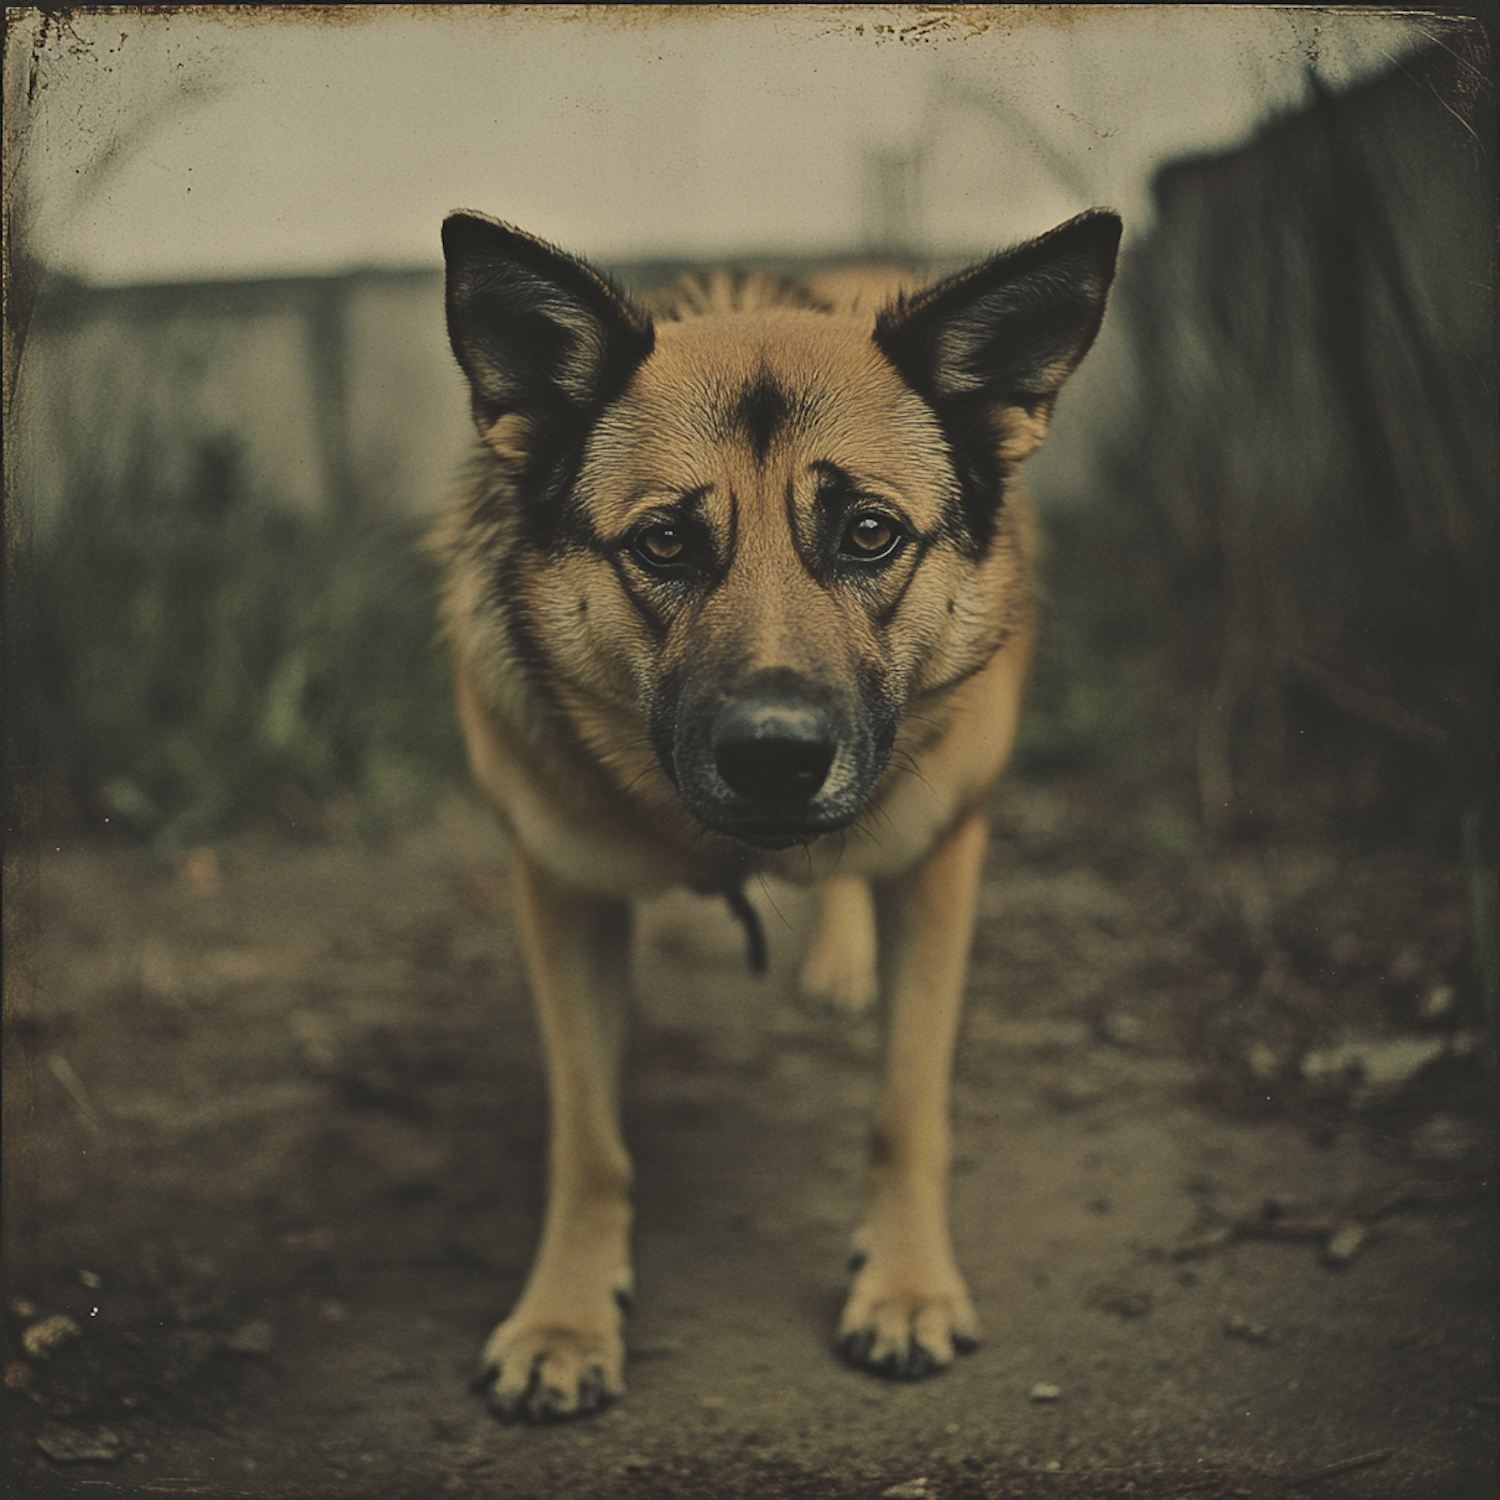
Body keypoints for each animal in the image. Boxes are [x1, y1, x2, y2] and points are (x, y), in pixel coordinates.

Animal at [429, 208, 1122, 1416]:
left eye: (869, 534)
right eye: (663, 542)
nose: (775, 759)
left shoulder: (940, 866)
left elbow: (907, 1111)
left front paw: (905, 1287)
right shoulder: (561, 894)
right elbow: (588, 1142)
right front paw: (565, 1317)